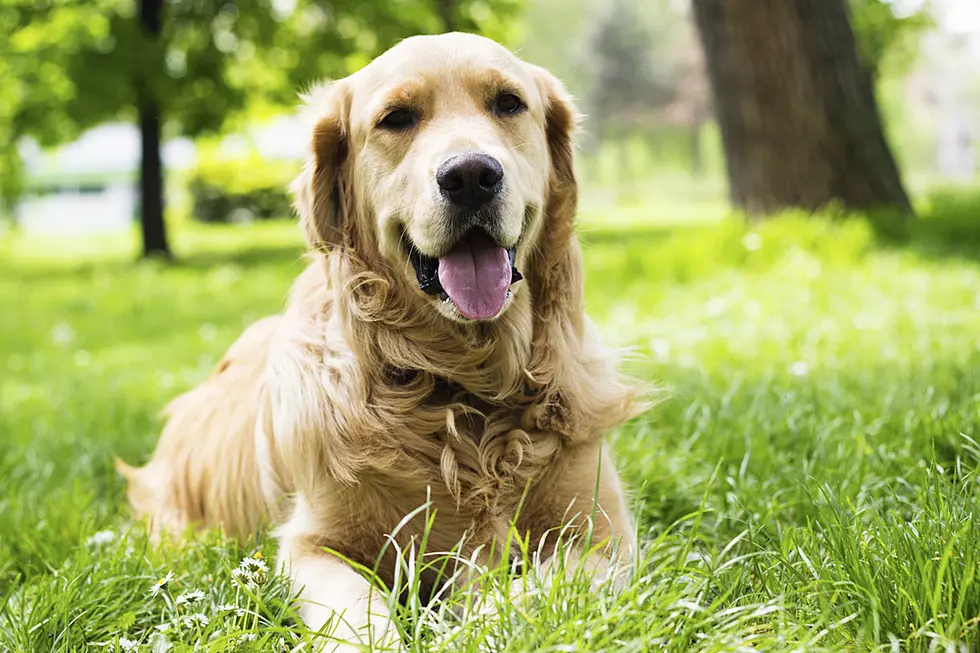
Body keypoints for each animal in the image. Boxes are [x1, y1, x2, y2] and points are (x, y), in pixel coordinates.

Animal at [117, 31, 644, 652]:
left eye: (509, 104)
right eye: (396, 118)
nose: (471, 176)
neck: (462, 387)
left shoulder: (603, 536)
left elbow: (533, 591)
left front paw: (473, 619)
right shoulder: (312, 545)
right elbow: (358, 611)